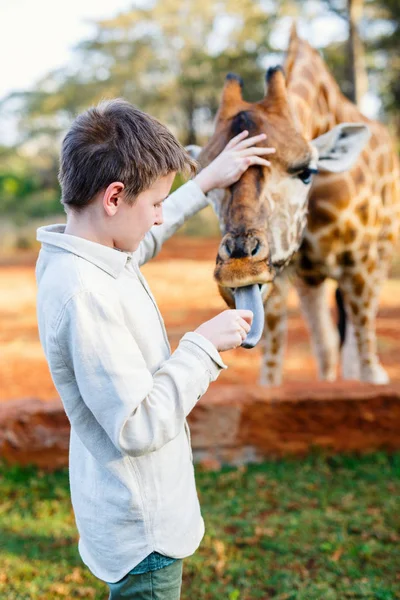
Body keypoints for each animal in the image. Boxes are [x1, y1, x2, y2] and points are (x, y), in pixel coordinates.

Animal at [191, 27, 400, 384]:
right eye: (209, 185)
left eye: (306, 172)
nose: (239, 269)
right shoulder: (284, 273)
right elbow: (273, 370)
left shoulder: (362, 264)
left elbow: (369, 365)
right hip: (311, 281)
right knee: (328, 348)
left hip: (381, 258)